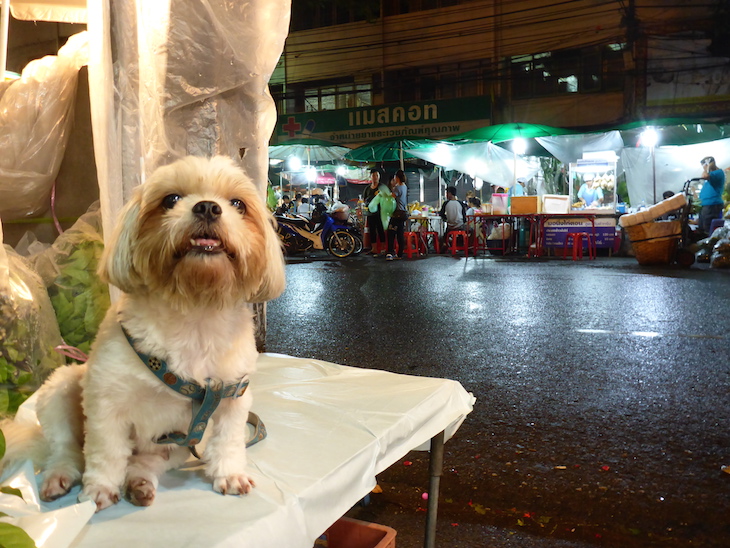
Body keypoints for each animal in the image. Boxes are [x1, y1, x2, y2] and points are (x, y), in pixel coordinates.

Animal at [2, 156, 284, 512]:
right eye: (170, 199)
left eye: (238, 204)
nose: (208, 207)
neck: (194, 311)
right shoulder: (105, 401)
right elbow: (106, 451)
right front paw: (99, 489)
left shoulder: (230, 394)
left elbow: (229, 440)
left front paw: (230, 474)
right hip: (62, 388)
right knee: (69, 450)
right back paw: (59, 477)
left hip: (174, 446)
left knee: (146, 461)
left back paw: (139, 483)